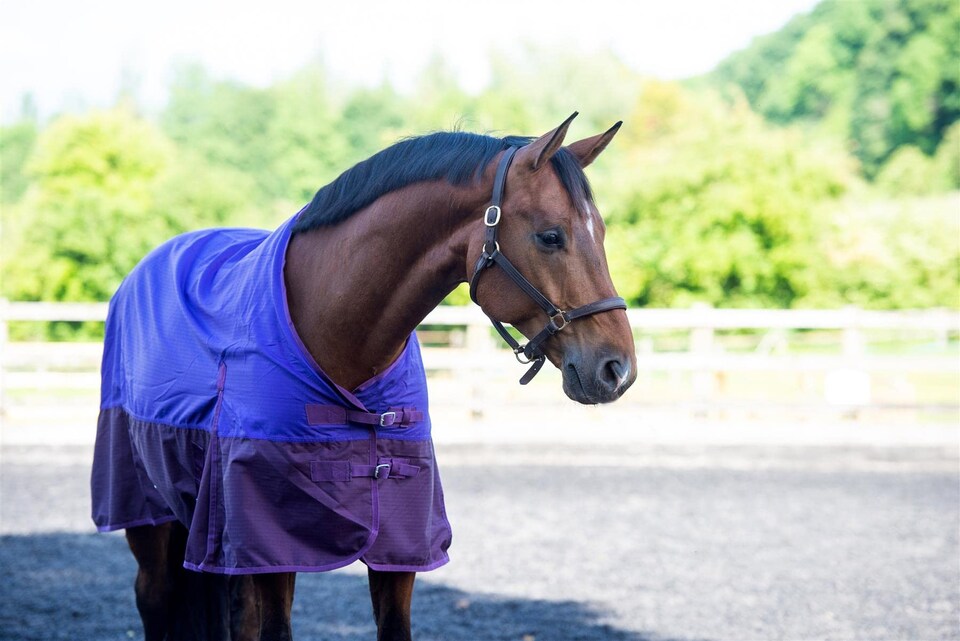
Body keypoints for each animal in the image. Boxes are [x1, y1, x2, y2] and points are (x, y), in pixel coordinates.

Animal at [90, 112, 637, 640]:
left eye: (601, 234)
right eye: (551, 236)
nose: (618, 369)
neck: (336, 335)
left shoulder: (399, 542)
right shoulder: (272, 542)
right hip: (152, 517)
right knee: (155, 598)